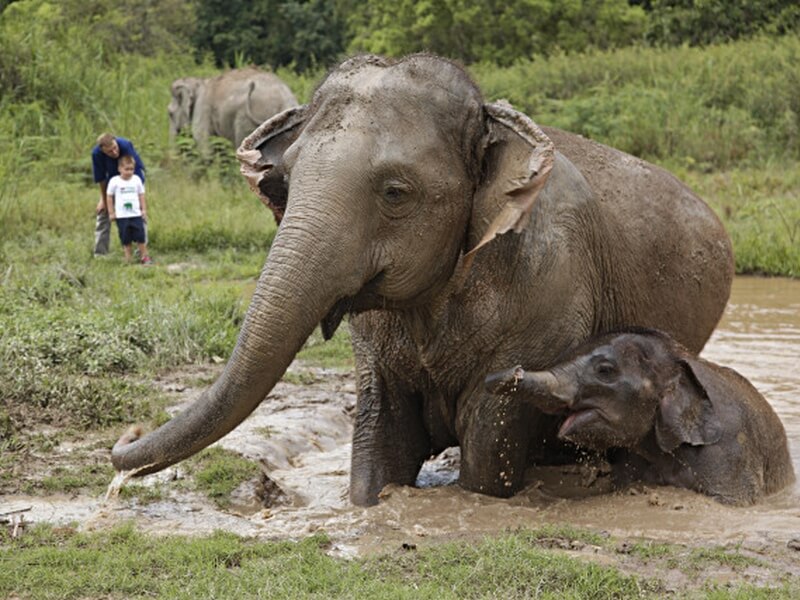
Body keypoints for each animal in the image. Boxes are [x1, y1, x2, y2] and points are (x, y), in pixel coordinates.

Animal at [168, 67, 298, 153]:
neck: (198, 82)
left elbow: (203, 144)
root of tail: (283, 97)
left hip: (245, 120)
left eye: (170, 113)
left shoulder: (202, 109)